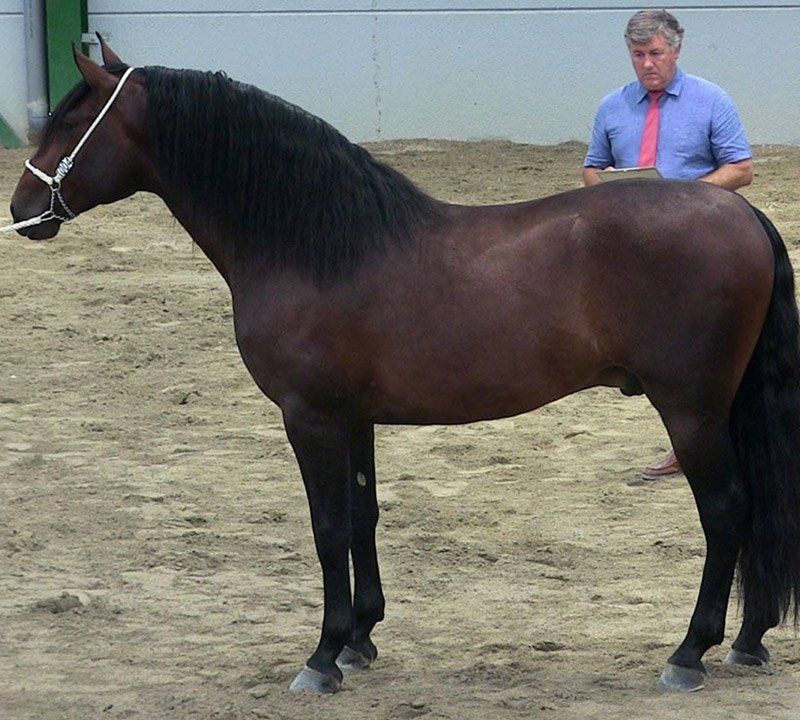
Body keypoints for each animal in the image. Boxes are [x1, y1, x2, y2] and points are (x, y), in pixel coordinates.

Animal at [6, 40, 800, 695]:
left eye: (71, 126)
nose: (21, 210)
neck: (313, 246)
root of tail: (741, 215)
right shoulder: (353, 419)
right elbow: (362, 517)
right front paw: (360, 639)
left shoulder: (310, 418)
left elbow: (327, 527)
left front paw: (322, 657)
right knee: (755, 507)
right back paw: (748, 641)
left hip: (691, 409)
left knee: (727, 510)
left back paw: (690, 654)